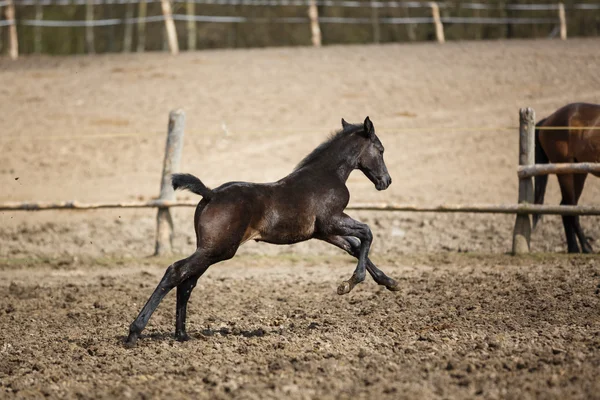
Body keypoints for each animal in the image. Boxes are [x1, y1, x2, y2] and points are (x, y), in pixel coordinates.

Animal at [126, 116, 398, 346]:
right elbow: (367, 233)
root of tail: (211, 194)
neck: (328, 175)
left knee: (187, 282)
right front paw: (351, 282)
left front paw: (389, 282)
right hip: (218, 249)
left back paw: (182, 335)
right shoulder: (332, 221)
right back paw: (134, 333)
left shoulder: (324, 232)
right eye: (381, 150)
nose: (386, 182)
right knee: (176, 272)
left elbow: (353, 246)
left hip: (210, 249)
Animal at [536, 103, 600, 253]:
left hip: (579, 173)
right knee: (570, 208)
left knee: (566, 207)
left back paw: (574, 248)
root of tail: (548, 120)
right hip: (565, 172)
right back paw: (586, 248)